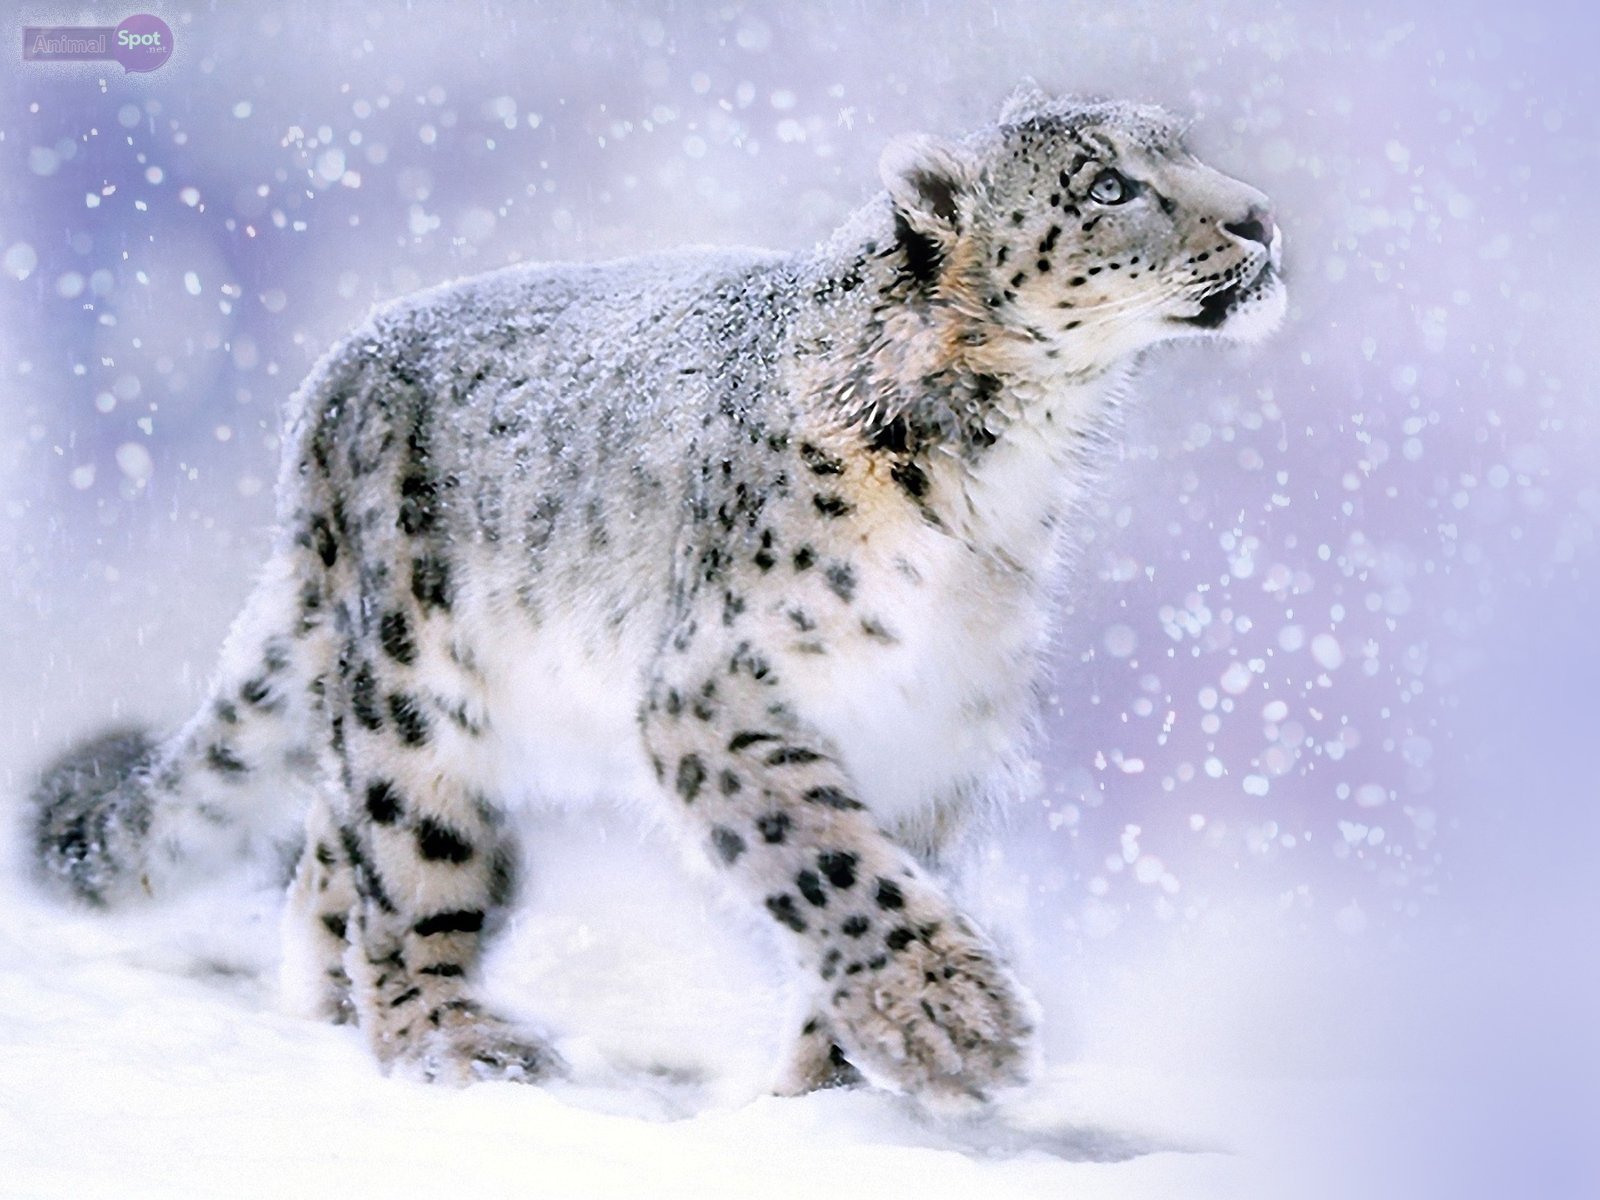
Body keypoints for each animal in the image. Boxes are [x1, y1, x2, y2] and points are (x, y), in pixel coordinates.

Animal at [28, 86, 1284, 1106]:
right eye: (1109, 185)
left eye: (1189, 151)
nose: (1262, 217)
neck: (1006, 479)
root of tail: (326, 389)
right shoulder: (719, 689)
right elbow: (831, 863)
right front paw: (955, 1027)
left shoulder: (933, 724)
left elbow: (886, 870)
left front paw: (836, 1084)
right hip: (414, 693)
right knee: (406, 870)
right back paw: (451, 1038)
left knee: (326, 860)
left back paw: (328, 1008)